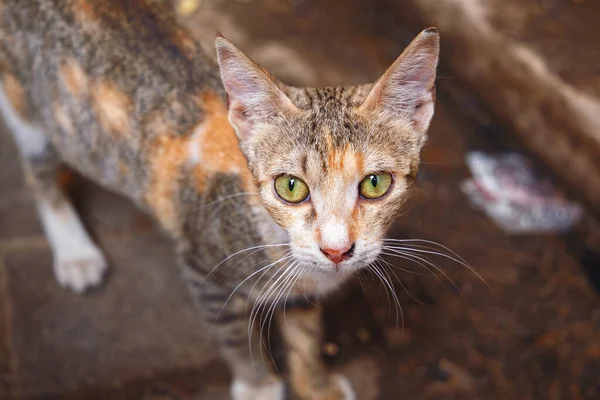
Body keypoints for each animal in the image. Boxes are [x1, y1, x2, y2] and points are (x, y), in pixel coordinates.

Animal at [0, 1, 440, 398]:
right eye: (291, 187)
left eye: (375, 183)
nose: (336, 250)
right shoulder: (205, 270)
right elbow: (234, 336)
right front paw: (259, 386)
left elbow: (305, 329)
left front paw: (316, 384)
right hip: (28, 110)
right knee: (37, 169)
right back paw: (73, 250)